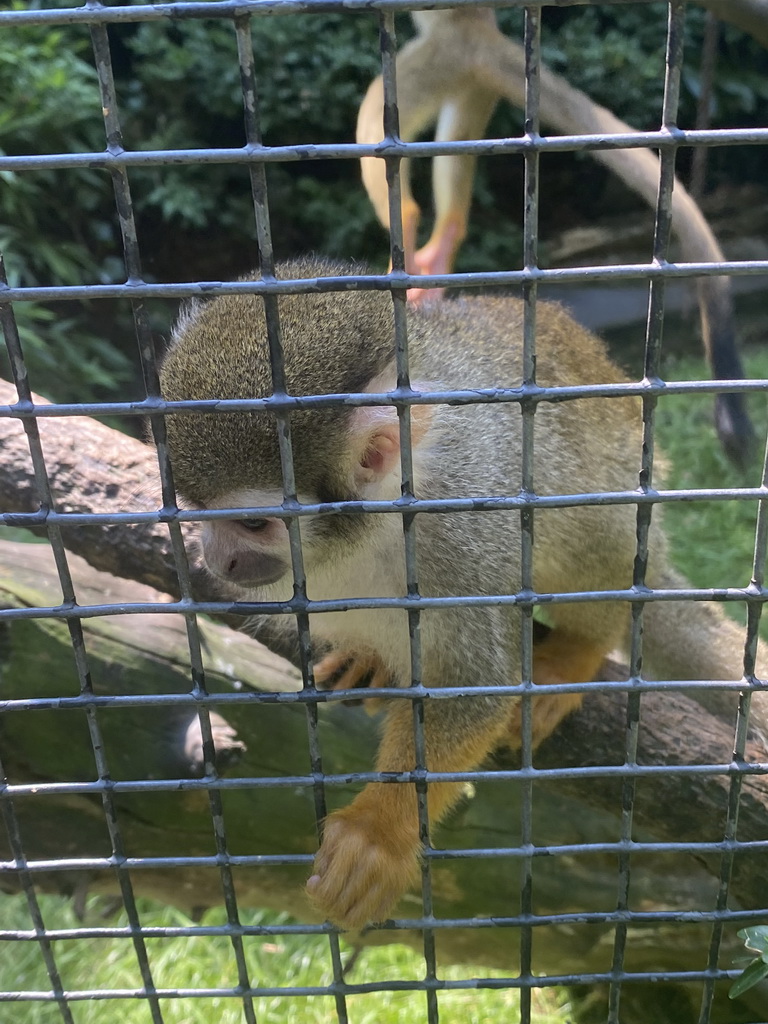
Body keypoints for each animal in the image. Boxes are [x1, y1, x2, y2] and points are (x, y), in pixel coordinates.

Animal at [160, 256, 765, 929]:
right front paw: (369, 657)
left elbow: (477, 688)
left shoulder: (458, 532)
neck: (373, 524)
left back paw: (580, 649)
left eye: (252, 524)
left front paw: (378, 833)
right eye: (196, 510)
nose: (215, 558)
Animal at [358, 7, 753, 464]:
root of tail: (474, 22)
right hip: (467, 73)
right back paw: (445, 238)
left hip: (436, 60)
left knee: (373, 126)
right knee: (457, 137)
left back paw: (405, 219)